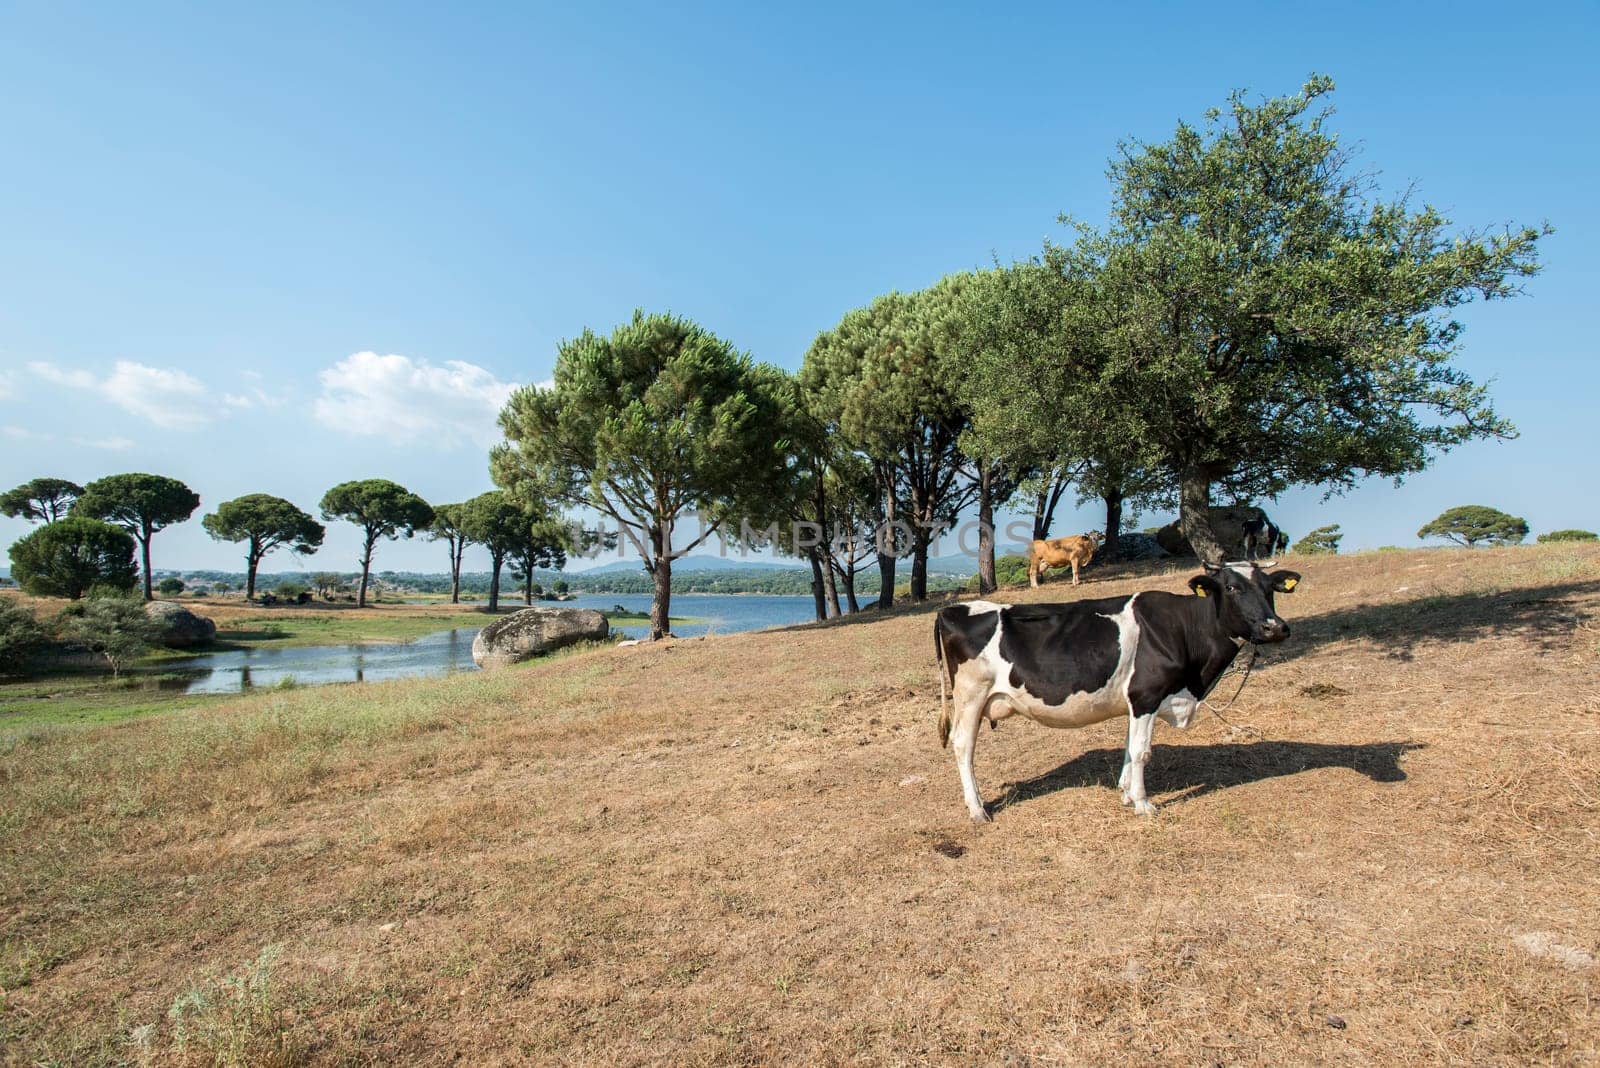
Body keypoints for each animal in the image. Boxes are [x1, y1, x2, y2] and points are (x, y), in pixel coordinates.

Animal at [934, 562, 1299, 824]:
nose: (1275, 627)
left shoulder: (1136, 702)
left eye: (1270, 588)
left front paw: (1126, 793)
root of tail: (952, 609)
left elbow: (1129, 747)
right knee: (963, 745)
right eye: (1232, 587)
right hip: (971, 695)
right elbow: (1141, 752)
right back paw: (977, 810)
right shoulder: (1146, 695)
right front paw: (1143, 803)